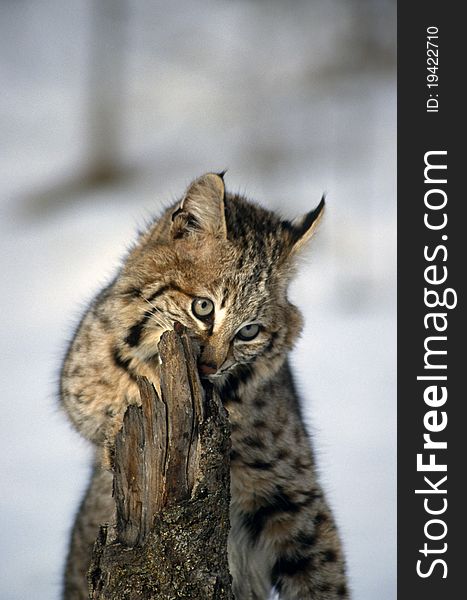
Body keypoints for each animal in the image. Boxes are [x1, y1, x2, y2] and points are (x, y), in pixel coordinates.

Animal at [61, 173, 348, 600]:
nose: (211, 365)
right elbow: (109, 400)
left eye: (249, 331)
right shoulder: (75, 381)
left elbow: (323, 571)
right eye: (203, 307)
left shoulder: (291, 488)